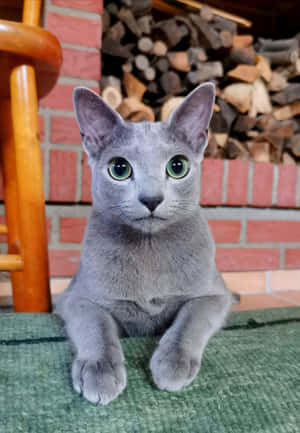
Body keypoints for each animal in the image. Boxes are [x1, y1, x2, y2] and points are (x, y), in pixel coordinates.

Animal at [55, 82, 233, 404]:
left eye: (178, 166)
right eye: (119, 169)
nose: (151, 199)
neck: (149, 249)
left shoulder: (215, 295)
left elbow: (191, 318)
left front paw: (172, 363)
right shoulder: (76, 297)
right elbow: (95, 325)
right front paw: (99, 370)